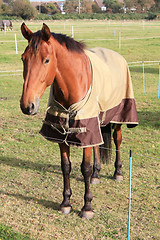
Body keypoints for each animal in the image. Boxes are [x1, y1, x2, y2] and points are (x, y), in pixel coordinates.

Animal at [19, 23, 138, 218]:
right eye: (23, 58)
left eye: (46, 60)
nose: (27, 105)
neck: (73, 85)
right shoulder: (62, 133)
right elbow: (66, 166)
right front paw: (66, 203)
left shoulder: (86, 129)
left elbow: (85, 168)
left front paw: (87, 207)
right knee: (98, 145)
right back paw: (97, 175)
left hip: (119, 116)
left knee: (117, 140)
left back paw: (118, 172)